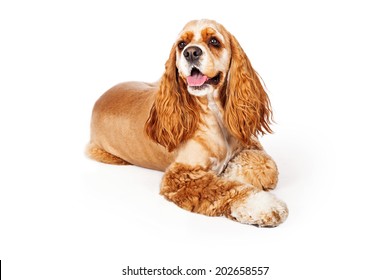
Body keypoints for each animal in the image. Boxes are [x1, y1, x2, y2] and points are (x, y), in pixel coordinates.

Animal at [89, 18, 290, 226]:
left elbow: (267, 164)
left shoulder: (250, 143)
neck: (214, 111)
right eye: (182, 44)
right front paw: (264, 206)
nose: (191, 52)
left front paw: (229, 171)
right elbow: (226, 189)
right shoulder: (181, 175)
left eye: (214, 41)